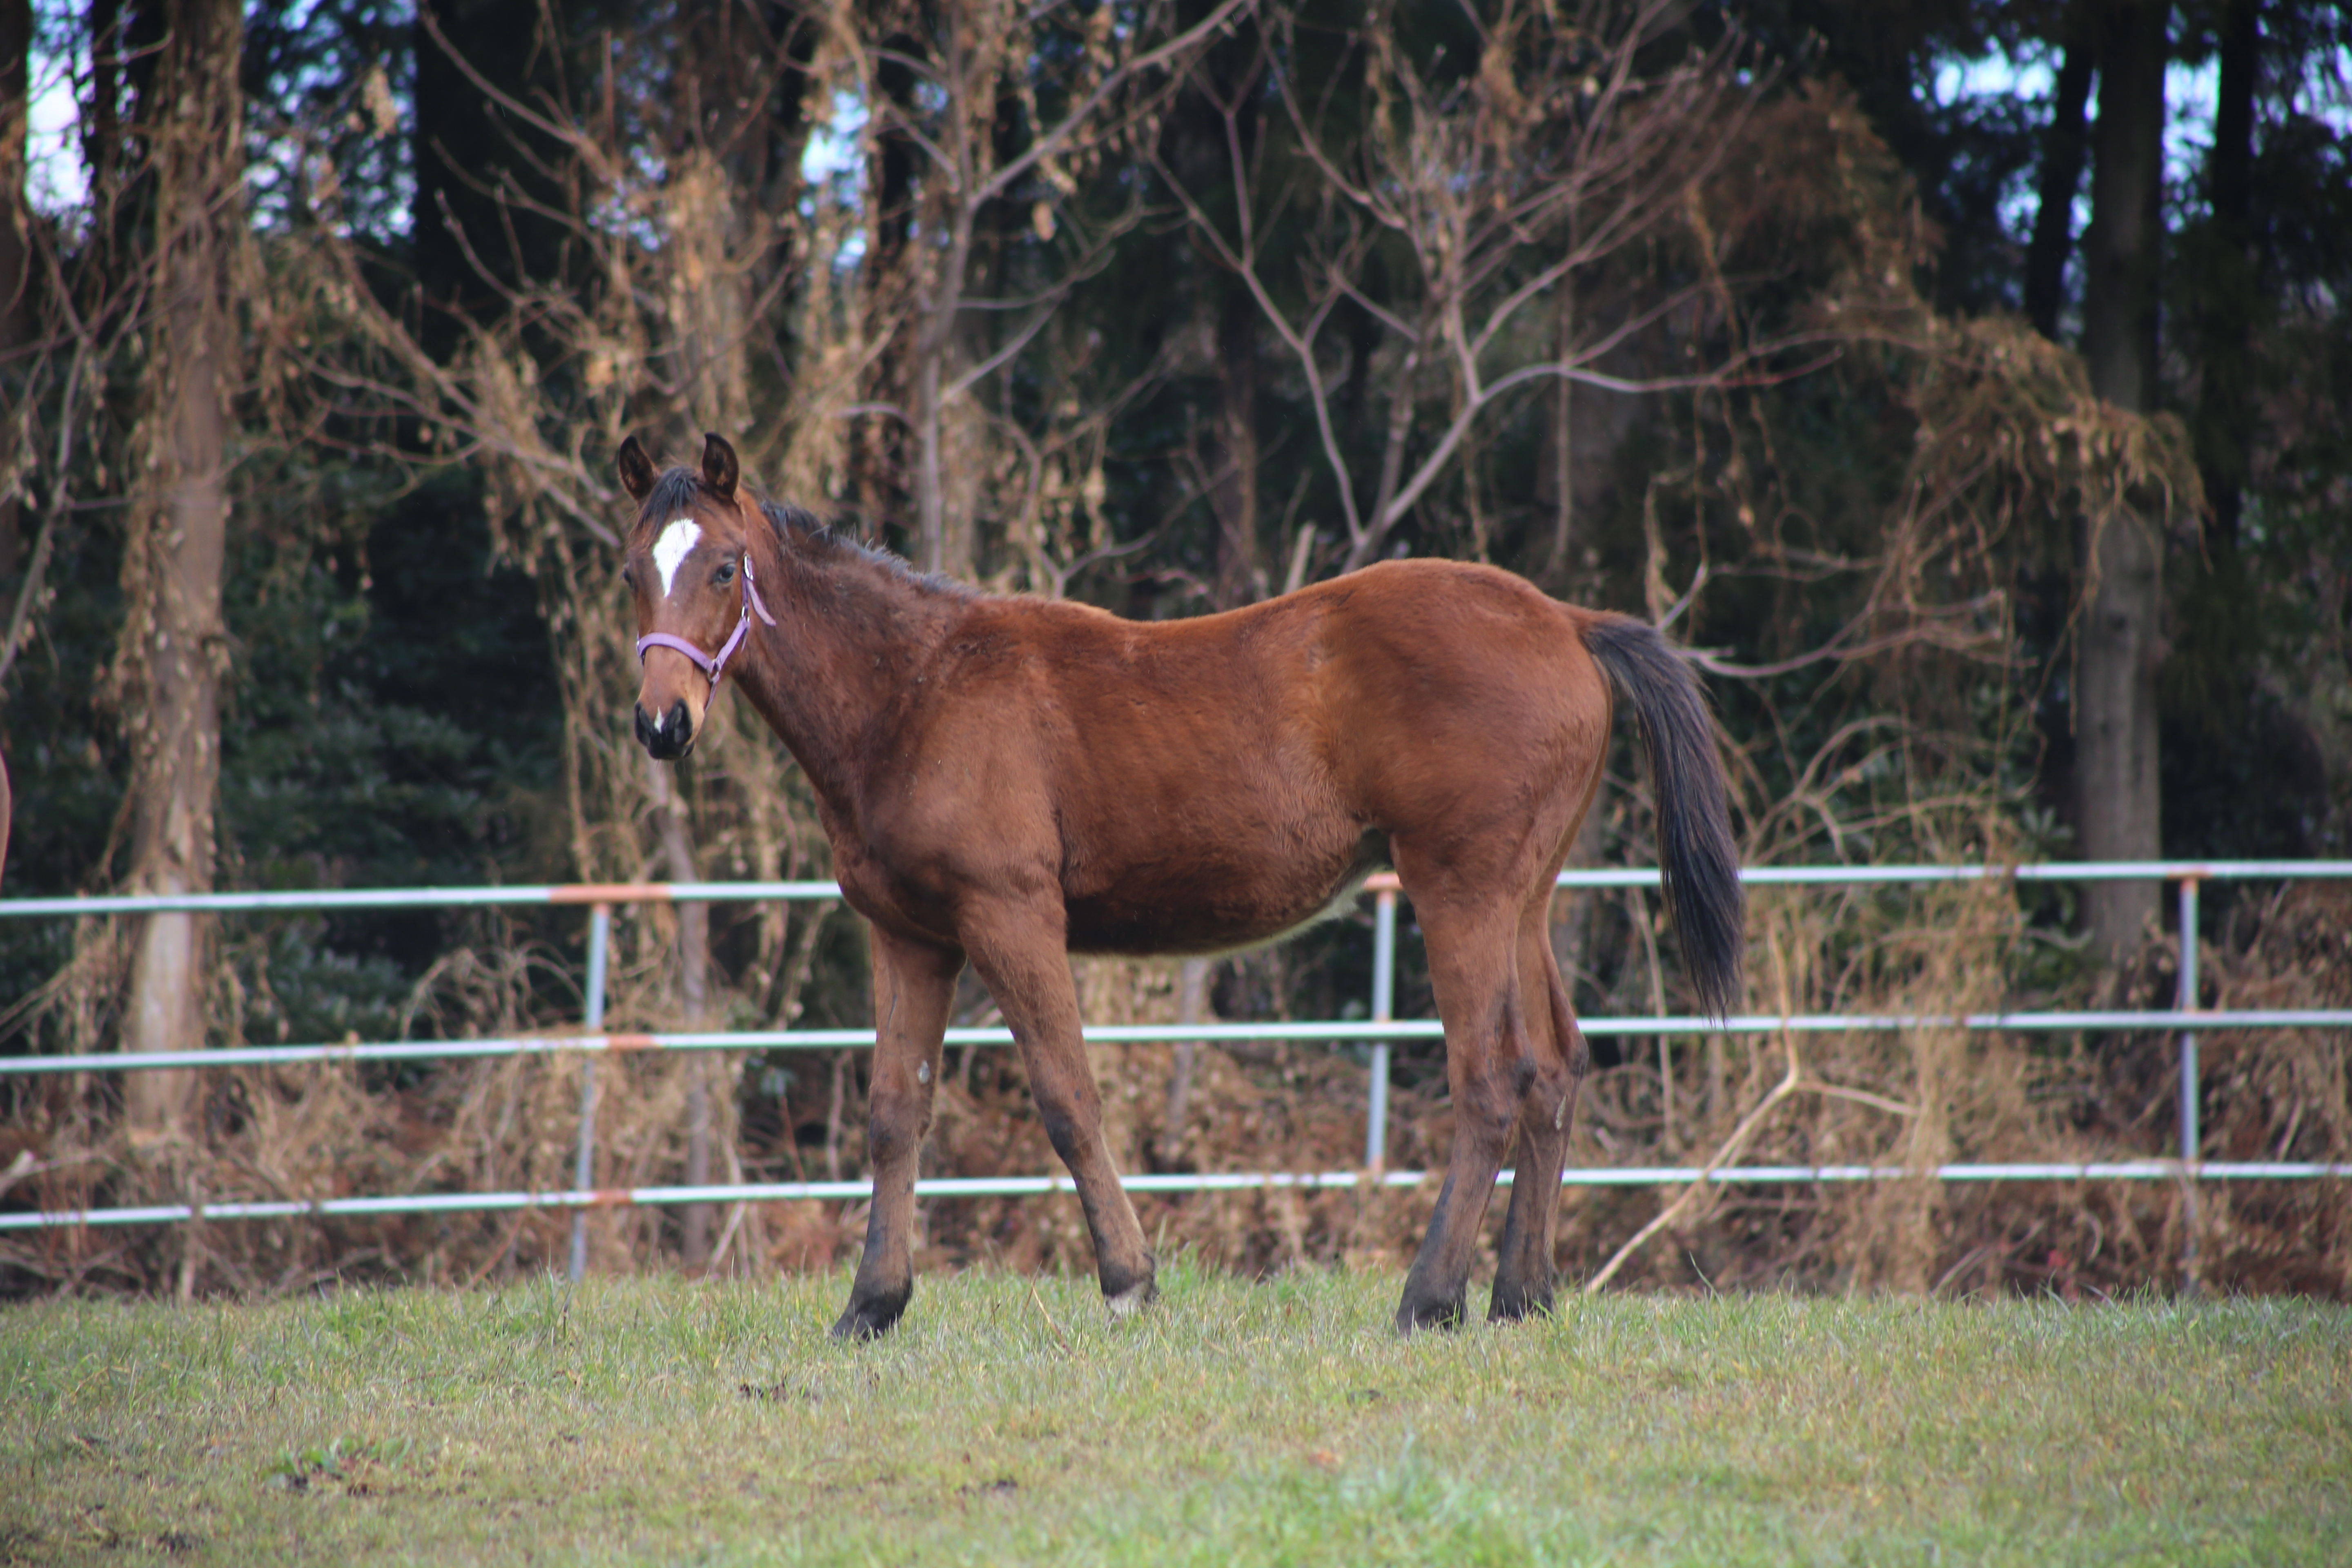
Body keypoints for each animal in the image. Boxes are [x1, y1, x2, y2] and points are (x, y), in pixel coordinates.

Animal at [616, 432, 1740, 1335]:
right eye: (633, 569)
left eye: (724, 565)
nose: (661, 724)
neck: (917, 691)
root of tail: (1563, 618)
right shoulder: (912, 938)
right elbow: (897, 1111)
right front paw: (871, 1306)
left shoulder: (1010, 916)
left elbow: (1067, 1095)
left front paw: (1128, 1282)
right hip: (1523, 896)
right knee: (1553, 1068)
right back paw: (1519, 1297)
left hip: (1457, 888)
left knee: (1491, 1079)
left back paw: (1428, 1300)